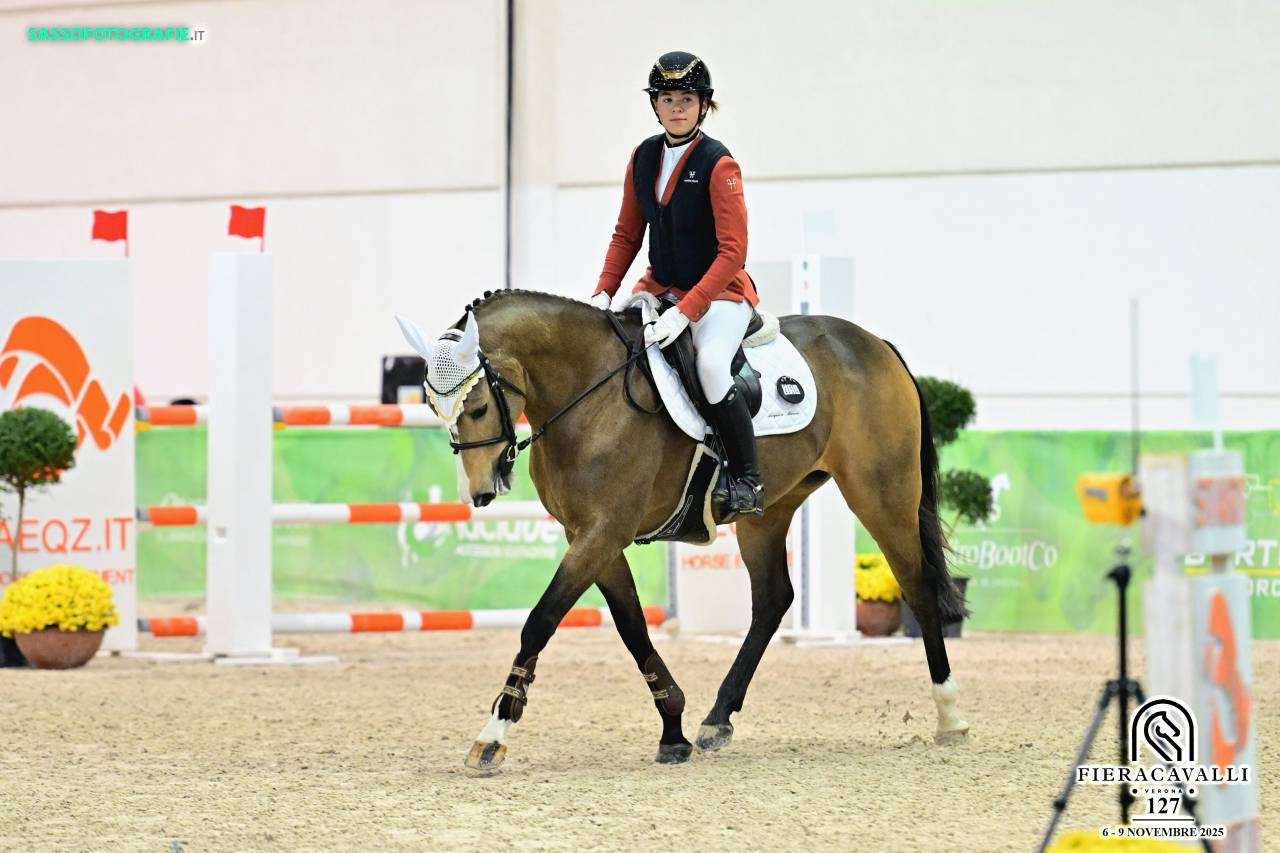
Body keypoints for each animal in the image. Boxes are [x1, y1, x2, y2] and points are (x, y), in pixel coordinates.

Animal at [398, 289, 969, 773]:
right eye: (436, 408)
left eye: (476, 407)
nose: (479, 493)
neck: (589, 393)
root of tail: (875, 344)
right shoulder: (590, 536)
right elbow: (633, 628)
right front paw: (673, 728)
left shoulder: (603, 531)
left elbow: (540, 622)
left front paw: (493, 734)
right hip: (769, 511)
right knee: (773, 600)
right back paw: (718, 719)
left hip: (882, 495)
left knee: (917, 587)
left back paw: (950, 716)